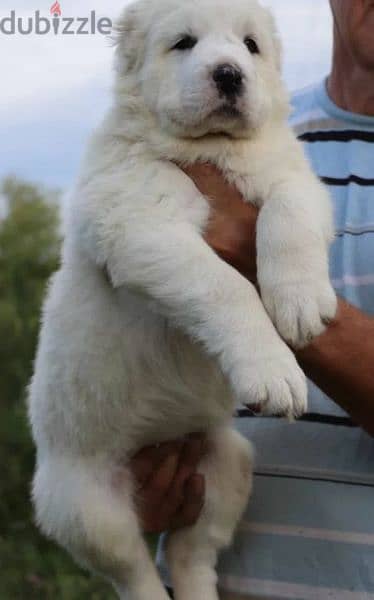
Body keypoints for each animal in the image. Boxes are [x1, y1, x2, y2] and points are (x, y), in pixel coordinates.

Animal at [28, 0, 336, 596]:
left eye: (250, 45)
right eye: (184, 43)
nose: (229, 74)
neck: (211, 148)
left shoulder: (293, 176)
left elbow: (289, 211)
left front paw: (302, 302)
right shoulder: (140, 223)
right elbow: (226, 286)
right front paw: (274, 369)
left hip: (228, 459)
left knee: (193, 551)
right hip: (84, 504)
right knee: (132, 568)